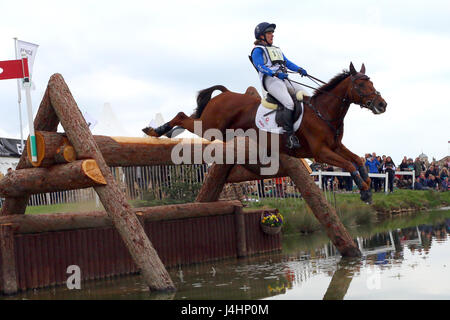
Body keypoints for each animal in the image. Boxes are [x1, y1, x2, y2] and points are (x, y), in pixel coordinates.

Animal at [143, 62, 386, 202]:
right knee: (183, 116)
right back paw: (156, 130)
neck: (323, 112)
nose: (382, 105)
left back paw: (165, 131)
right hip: (209, 126)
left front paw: (366, 183)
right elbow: (347, 165)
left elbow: (357, 161)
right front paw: (365, 191)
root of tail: (226, 92)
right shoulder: (321, 152)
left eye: (372, 82)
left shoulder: (336, 146)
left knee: (186, 118)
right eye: (361, 85)